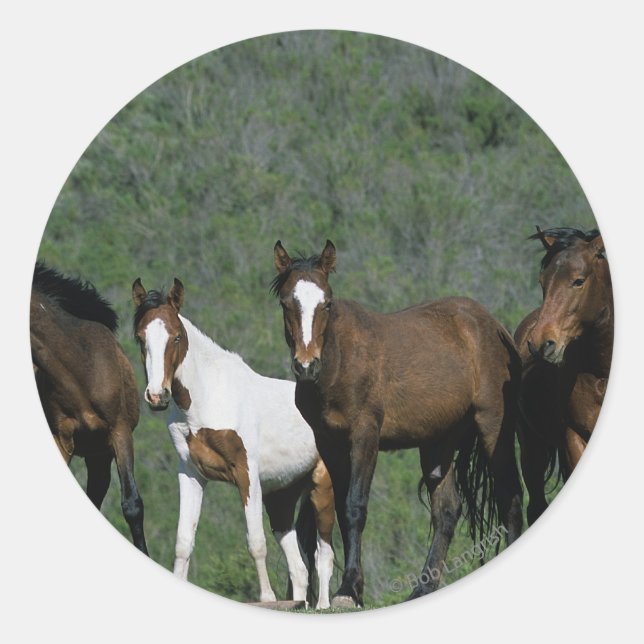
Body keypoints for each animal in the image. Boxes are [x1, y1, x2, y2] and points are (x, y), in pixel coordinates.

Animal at [131, 277, 335, 608]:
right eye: (140, 338)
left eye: (176, 337)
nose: (157, 396)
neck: (207, 397)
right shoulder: (191, 475)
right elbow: (183, 541)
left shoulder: (246, 474)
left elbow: (255, 542)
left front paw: (266, 597)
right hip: (281, 497)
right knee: (300, 568)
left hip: (322, 487)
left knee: (323, 555)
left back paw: (322, 606)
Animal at [271, 240, 523, 608]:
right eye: (286, 302)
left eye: (327, 302)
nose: (306, 366)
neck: (339, 362)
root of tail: (491, 325)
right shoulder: (329, 444)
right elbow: (344, 512)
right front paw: (354, 590)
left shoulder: (365, 436)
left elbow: (355, 507)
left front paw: (347, 589)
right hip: (438, 442)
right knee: (447, 511)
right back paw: (423, 587)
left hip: (493, 424)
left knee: (511, 496)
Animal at [514, 227, 612, 525]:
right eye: (542, 282)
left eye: (578, 281)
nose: (540, 343)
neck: (601, 373)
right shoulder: (574, 438)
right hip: (532, 447)